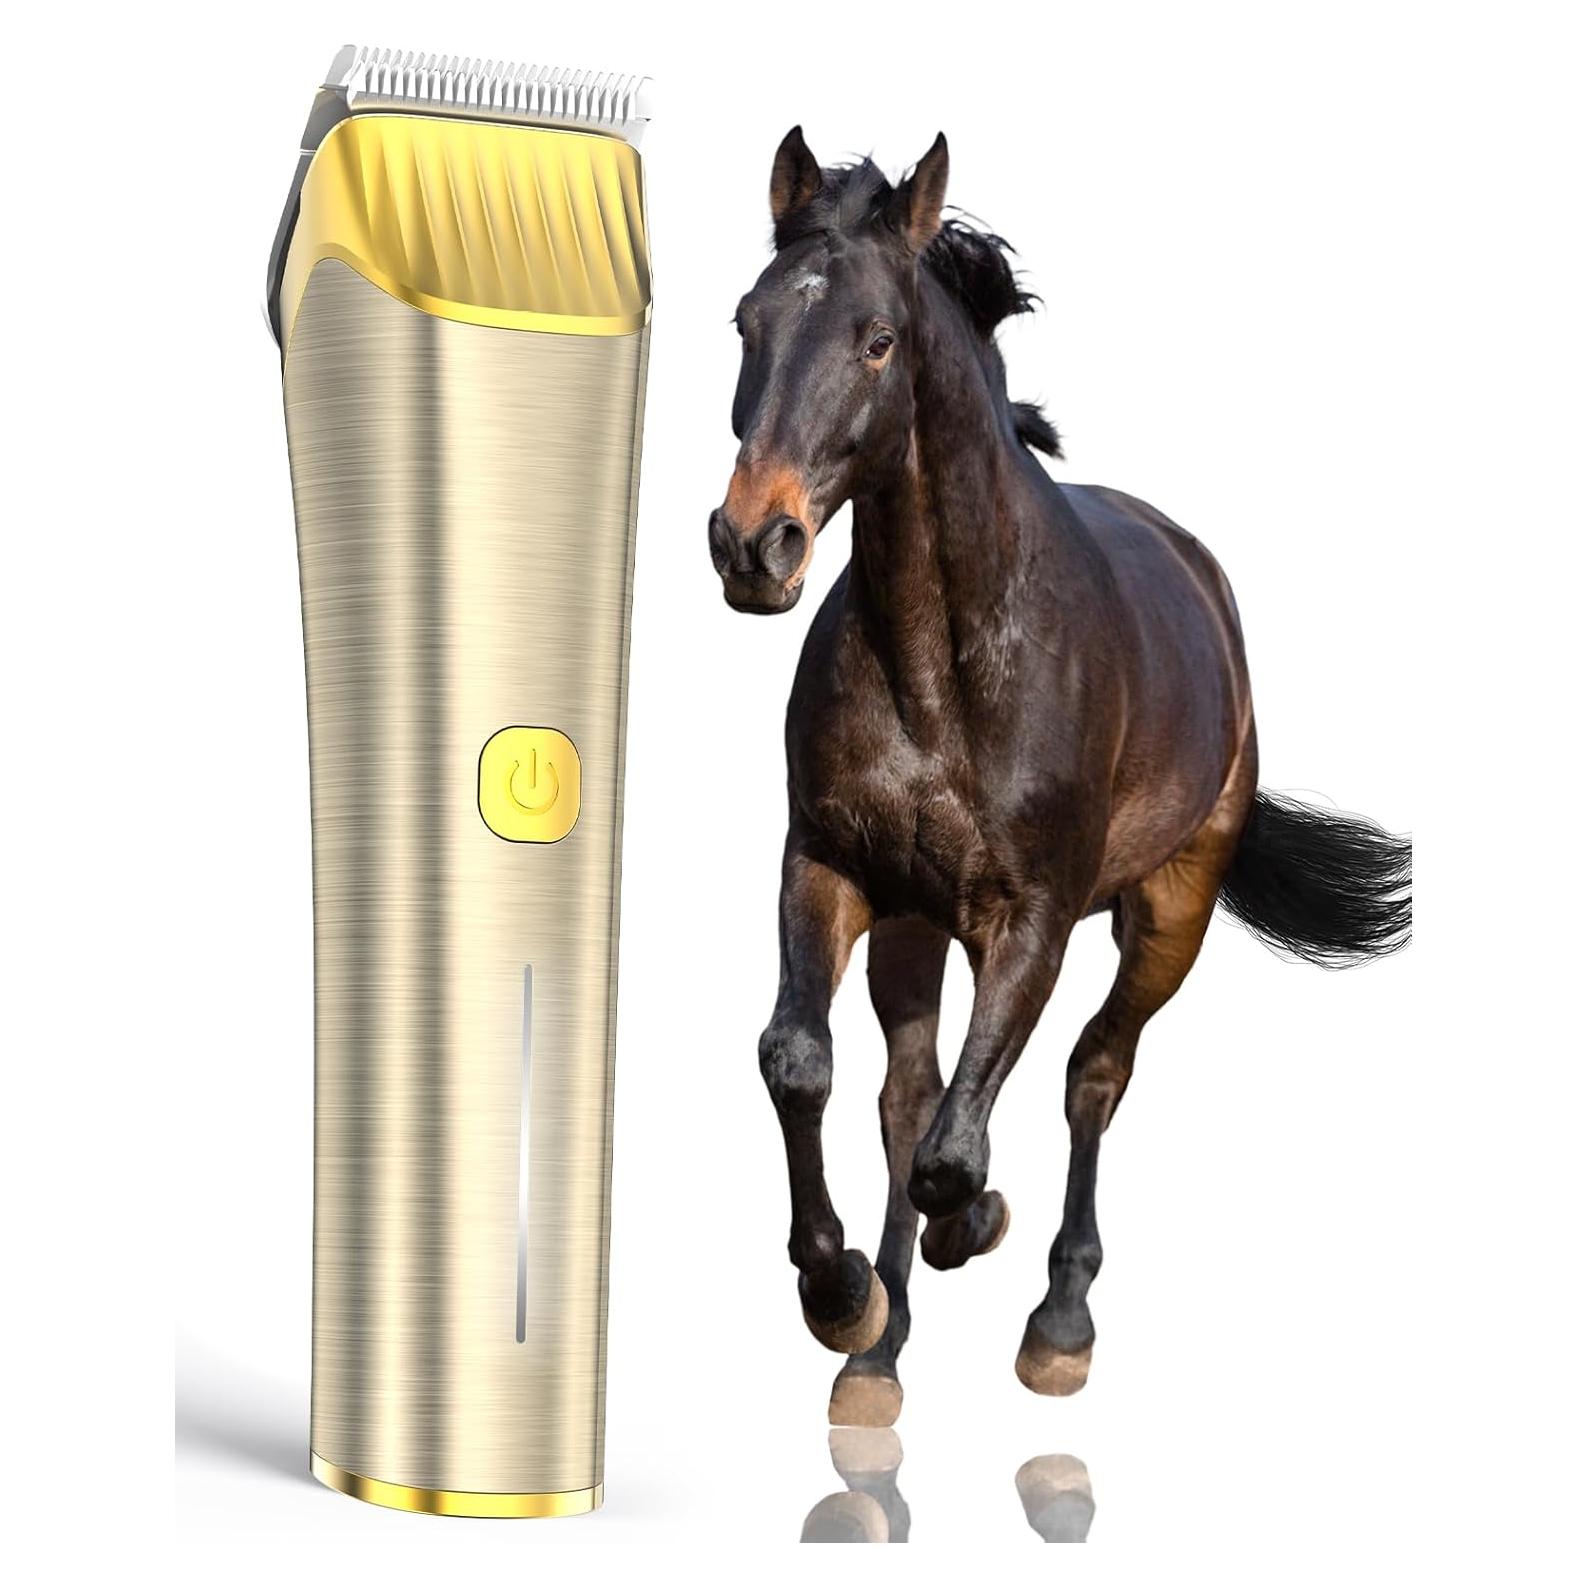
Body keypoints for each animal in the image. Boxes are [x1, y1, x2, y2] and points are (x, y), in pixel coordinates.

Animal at [707, 127, 1411, 1427]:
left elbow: (957, 1150)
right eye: (746, 322)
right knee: (907, 1093)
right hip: (915, 923)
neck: (944, 667)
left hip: (1169, 908)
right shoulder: (830, 868)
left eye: (877, 340)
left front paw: (974, 1228)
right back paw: (877, 1355)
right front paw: (842, 1296)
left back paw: (1057, 1323)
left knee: (1094, 1071)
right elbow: (804, 1065)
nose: (753, 546)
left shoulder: (1029, 916)